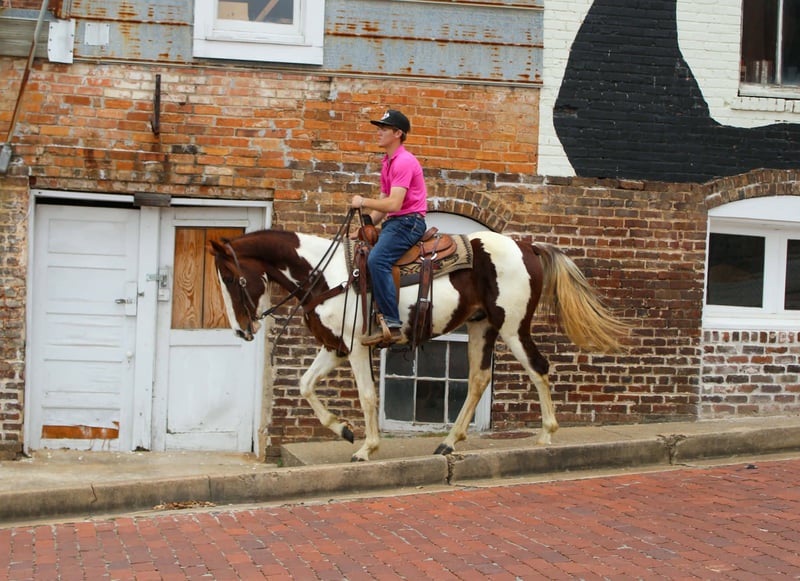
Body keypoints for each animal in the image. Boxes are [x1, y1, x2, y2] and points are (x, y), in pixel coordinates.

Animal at [210, 224, 628, 462]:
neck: (326, 275)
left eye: (229, 279)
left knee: (538, 368)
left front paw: (366, 448)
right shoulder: (335, 347)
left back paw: (545, 435)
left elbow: (367, 396)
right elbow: (305, 384)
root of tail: (527, 246)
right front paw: (343, 430)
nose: (241, 331)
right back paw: (449, 443)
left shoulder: (356, 346)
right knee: (479, 379)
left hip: (513, 326)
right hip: (481, 327)